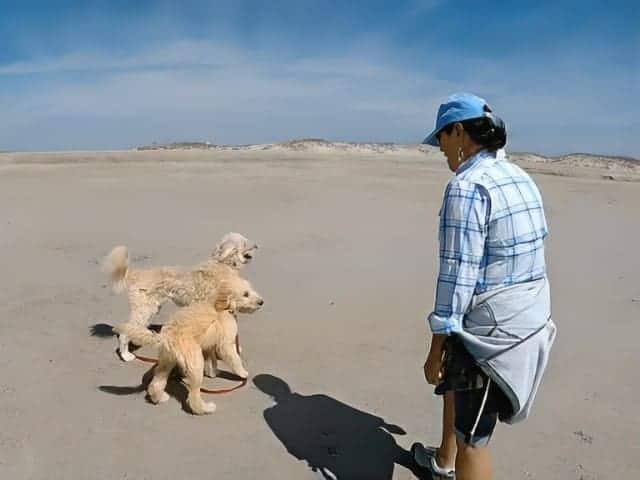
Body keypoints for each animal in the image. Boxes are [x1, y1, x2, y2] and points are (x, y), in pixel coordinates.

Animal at [102, 232, 258, 360]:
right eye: (245, 243)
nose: (257, 245)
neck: (224, 264)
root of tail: (136, 274)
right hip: (144, 310)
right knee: (124, 333)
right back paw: (126, 355)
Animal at [114, 276, 262, 414]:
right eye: (246, 294)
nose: (261, 302)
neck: (220, 304)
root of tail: (167, 336)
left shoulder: (209, 344)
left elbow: (211, 360)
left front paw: (212, 372)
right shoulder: (225, 343)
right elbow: (234, 358)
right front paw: (243, 373)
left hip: (166, 361)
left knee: (156, 382)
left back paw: (159, 398)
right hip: (195, 364)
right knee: (193, 395)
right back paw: (204, 409)